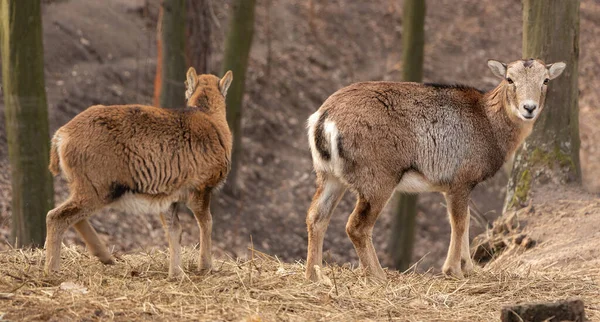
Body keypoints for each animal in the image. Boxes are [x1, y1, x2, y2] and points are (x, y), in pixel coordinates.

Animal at [43, 68, 232, 280]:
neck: (211, 120)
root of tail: (62, 135)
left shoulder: (168, 200)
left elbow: (174, 231)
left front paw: (176, 274)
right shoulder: (200, 190)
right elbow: (206, 223)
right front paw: (205, 267)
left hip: (87, 189)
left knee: (72, 217)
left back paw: (105, 257)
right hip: (98, 190)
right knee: (56, 217)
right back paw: (52, 271)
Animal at [308, 58, 564, 280]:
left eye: (545, 80)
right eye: (510, 79)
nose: (529, 108)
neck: (489, 125)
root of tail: (323, 119)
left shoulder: (456, 186)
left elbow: (466, 220)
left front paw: (469, 269)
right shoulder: (460, 181)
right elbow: (459, 222)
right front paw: (454, 270)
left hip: (329, 176)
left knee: (316, 217)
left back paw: (315, 275)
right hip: (377, 180)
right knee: (356, 226)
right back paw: (379, 276)